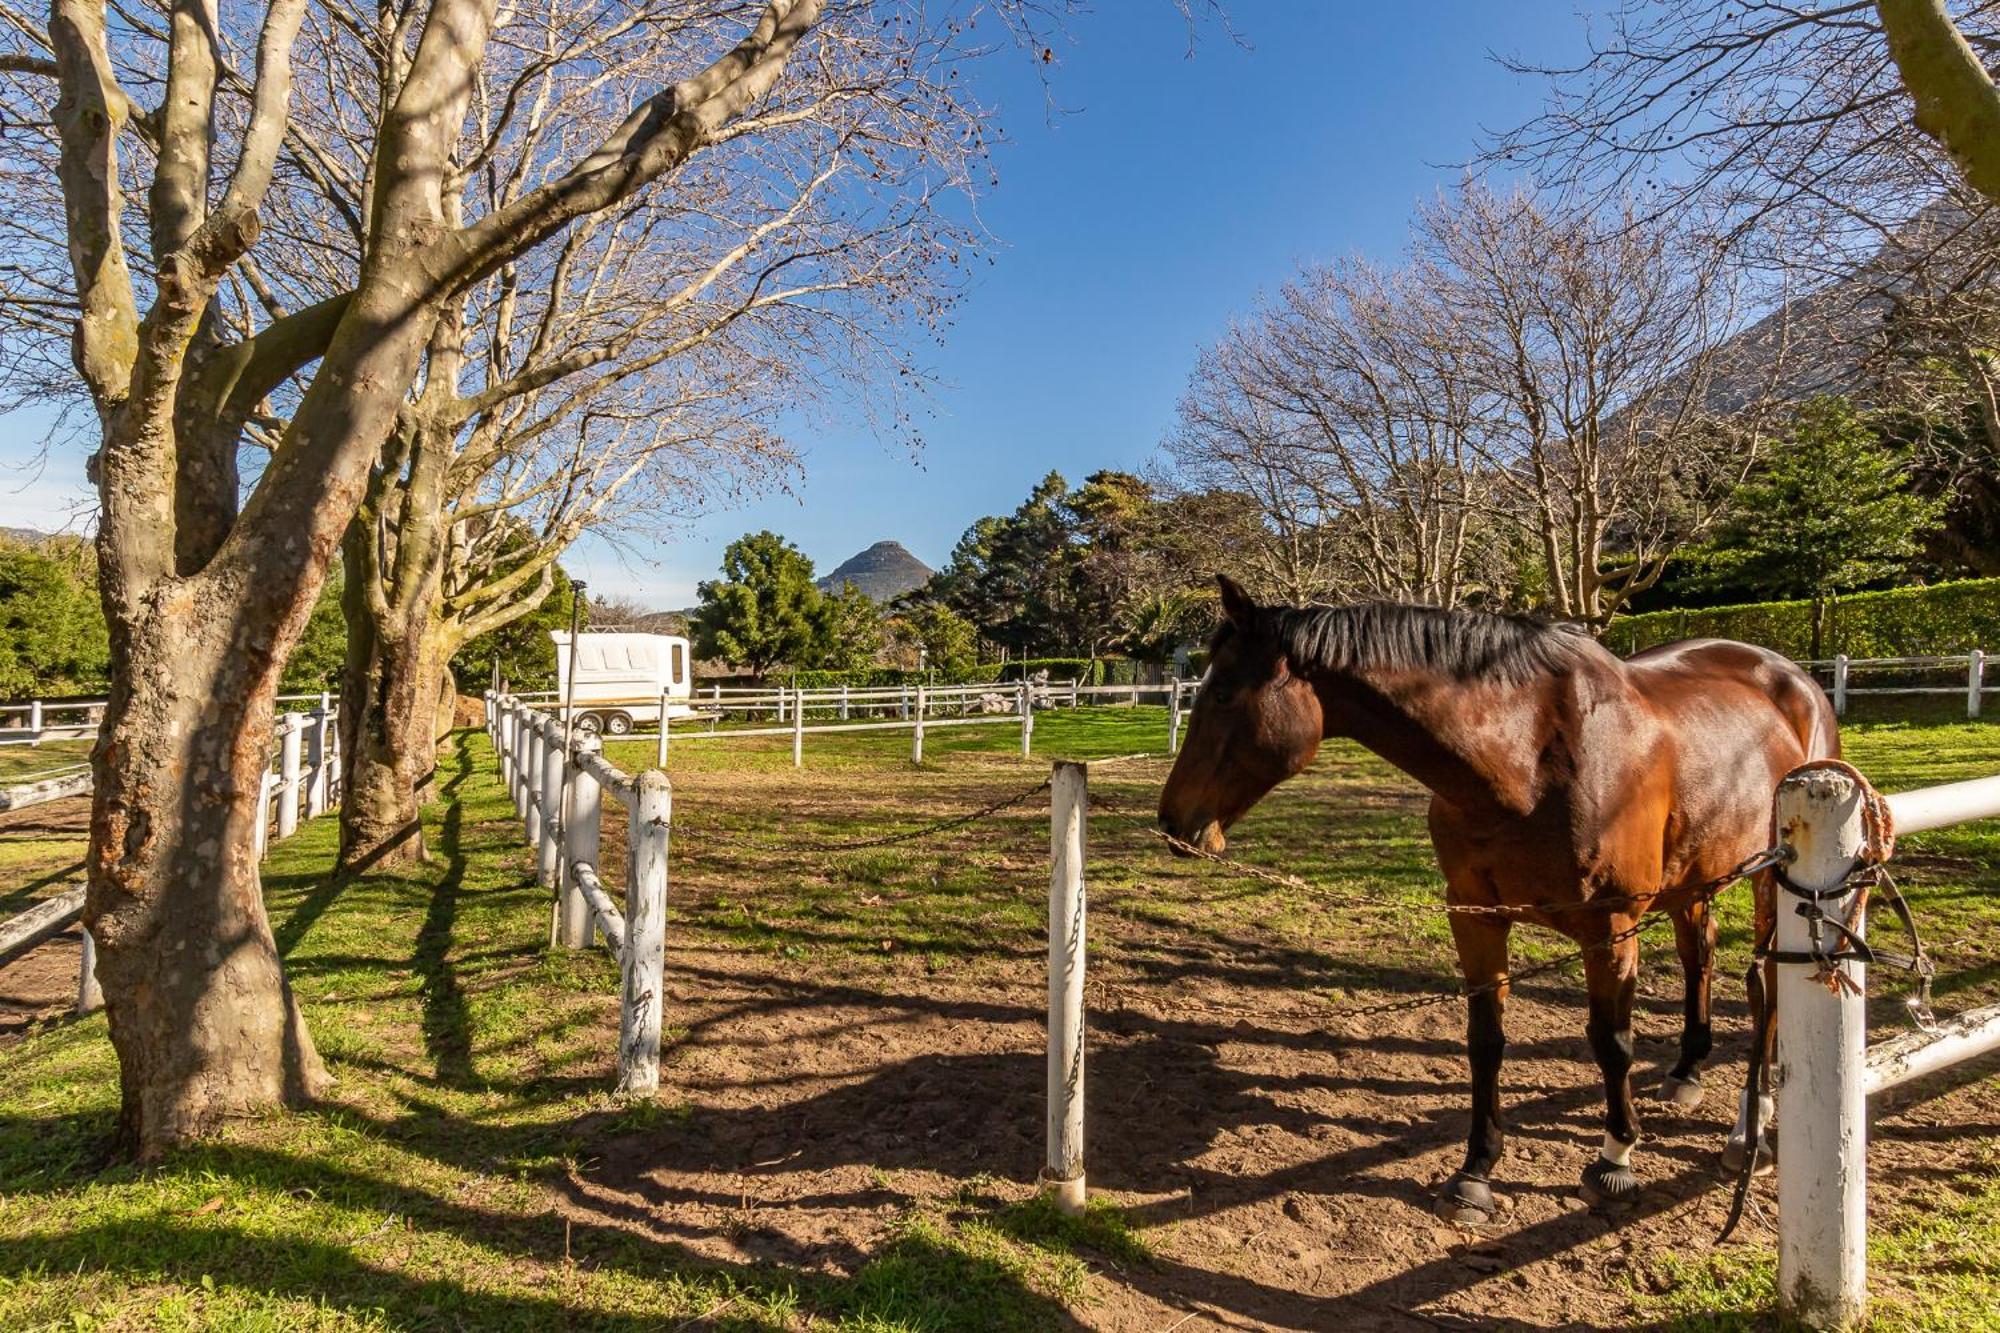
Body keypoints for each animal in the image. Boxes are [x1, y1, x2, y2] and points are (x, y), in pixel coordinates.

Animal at [1152, 576, 1832, 1216]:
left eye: (1222, 693)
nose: (1172, 822)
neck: (1530, 762)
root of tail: (1795, 679)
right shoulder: (1474, 917)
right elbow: (1485, 1042)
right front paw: (1476, 1170)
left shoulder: (1609, 928)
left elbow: (1611, 1043)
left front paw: (1615, 1158)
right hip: (1694, 878)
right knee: (1701, 955)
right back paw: (1689, 1071)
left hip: (1771, 879)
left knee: (1768, 988)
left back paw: (1752, 1129)